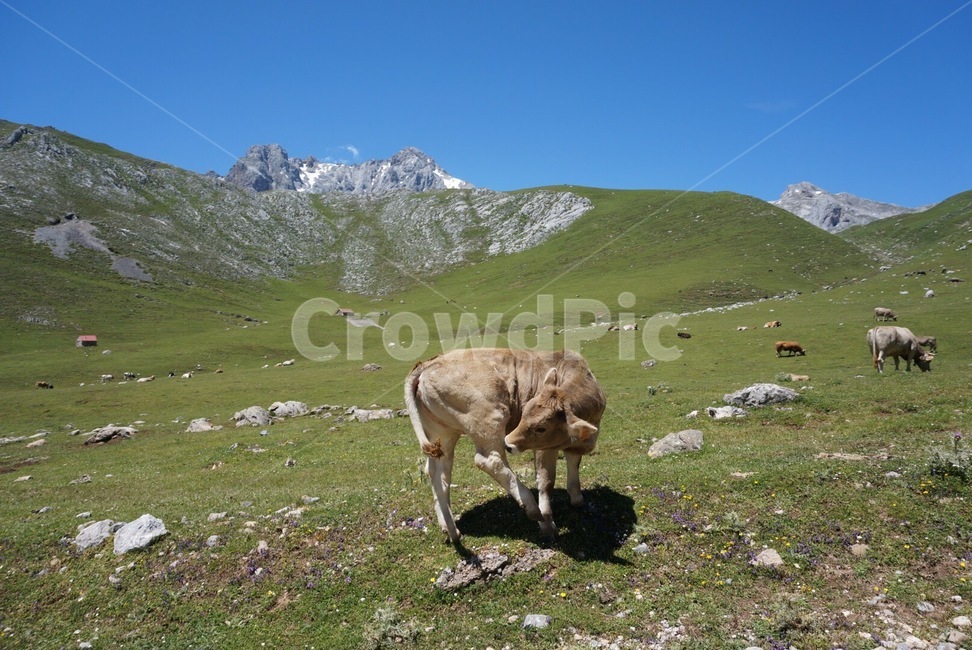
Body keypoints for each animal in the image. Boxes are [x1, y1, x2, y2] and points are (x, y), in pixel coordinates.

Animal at [405, 348, 605, 543]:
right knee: (489, 461)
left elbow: (574, 463)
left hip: (442, 434)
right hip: (490, 418)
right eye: (524, 414)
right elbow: (546, 481)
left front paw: (577, 499)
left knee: (438, 475)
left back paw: (451, 530)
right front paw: (548, 525)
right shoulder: (545, 447)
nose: (508, 442)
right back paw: (532, 507)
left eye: (541, 428)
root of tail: (428, 363)